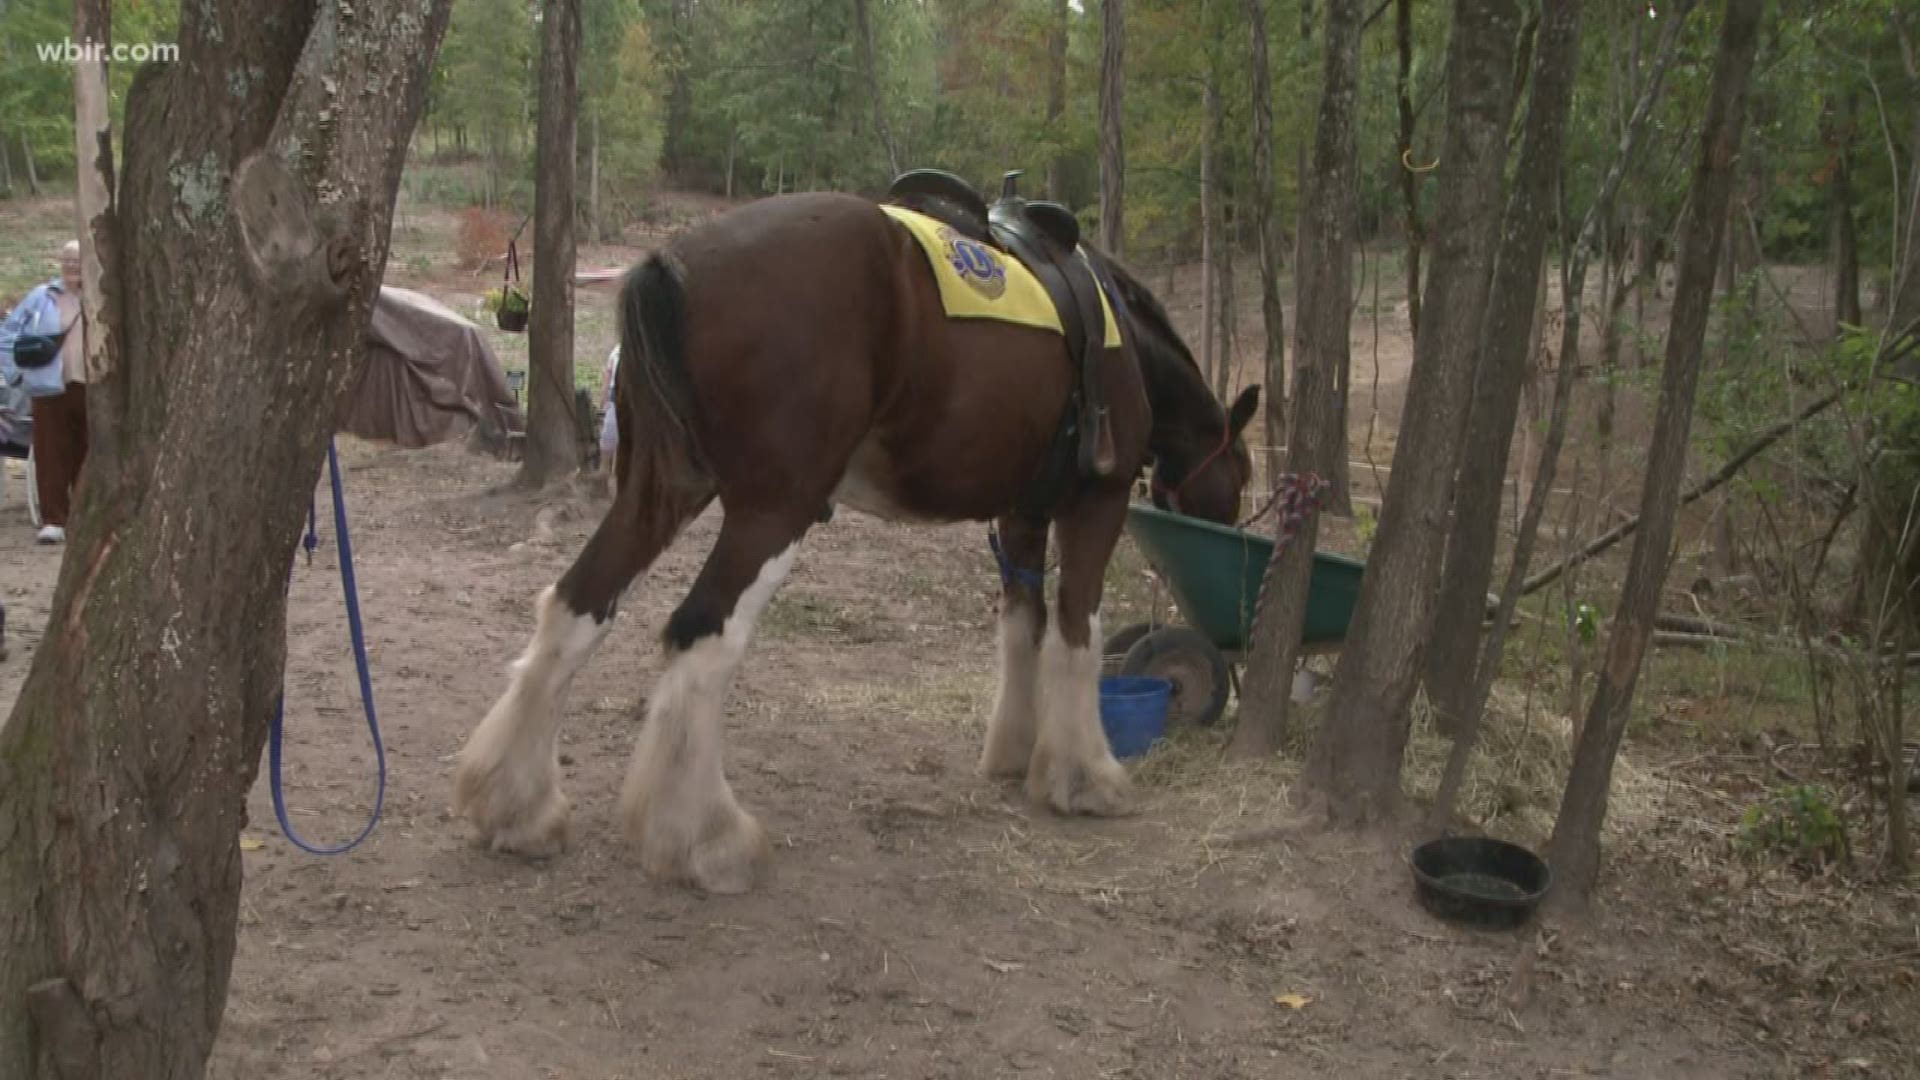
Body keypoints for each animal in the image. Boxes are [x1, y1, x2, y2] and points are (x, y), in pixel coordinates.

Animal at [449, 191, 1259, 891]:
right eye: (1243, 472)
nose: (1232, 529)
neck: (1118, 339)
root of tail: (675, 261)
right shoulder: (1097, 505)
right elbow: (1075, 634)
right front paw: (1085, 776)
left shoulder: (1021, 519)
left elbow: (1021, 630)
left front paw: (1016, 749)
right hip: (774, 513)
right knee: (700, 636)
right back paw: (704, 841)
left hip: (657, 496)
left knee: (576, 604)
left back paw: (516, 807)